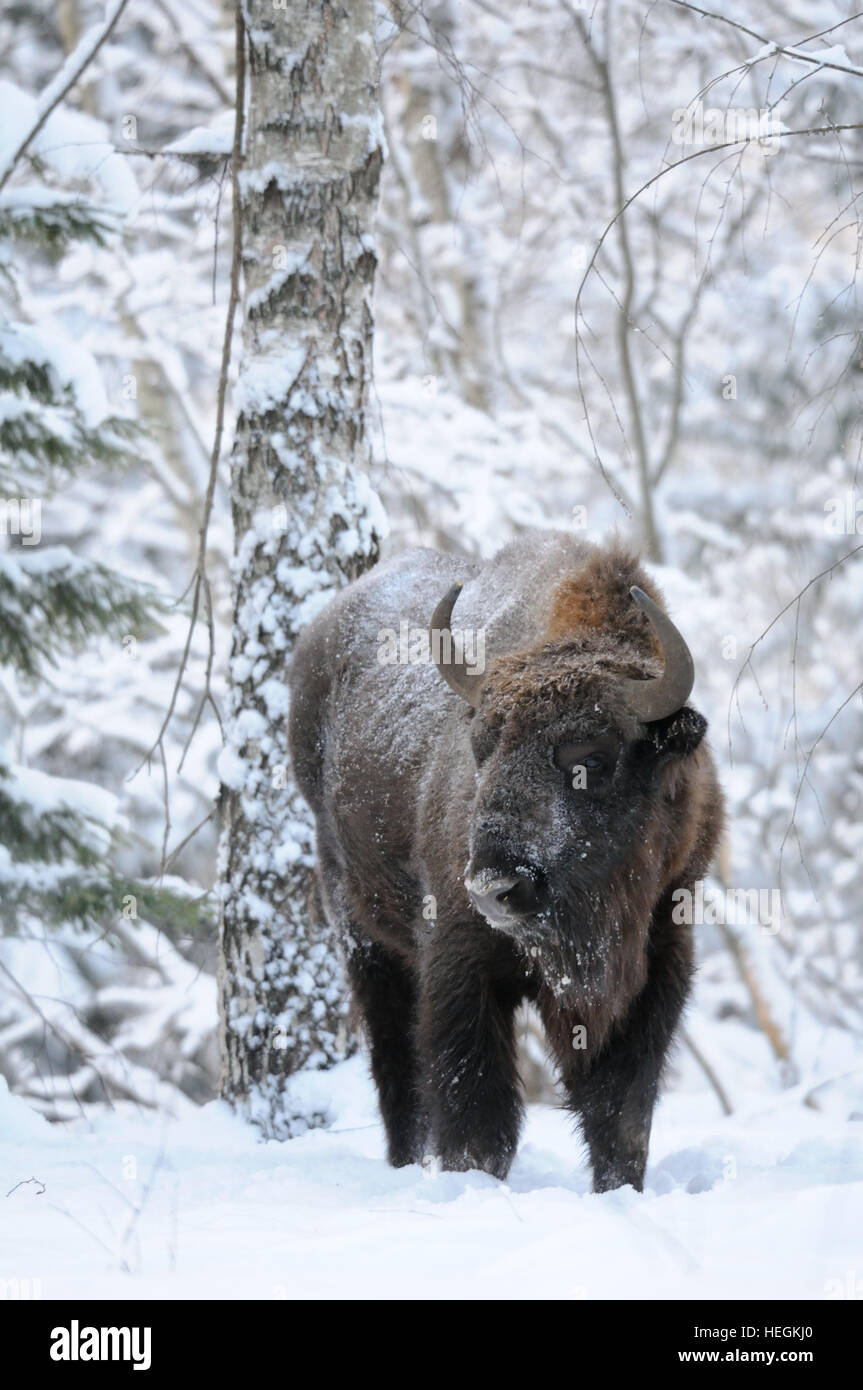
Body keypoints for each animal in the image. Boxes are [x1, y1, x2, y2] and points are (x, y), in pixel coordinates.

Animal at [289, 530, 723, 1191]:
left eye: (592, 758)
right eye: (481, 748)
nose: (495, 888)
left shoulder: (661, 955)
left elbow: (622, 1114)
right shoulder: (460, 965)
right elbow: (476, 1111)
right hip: (361, 934)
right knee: (396, 1067)